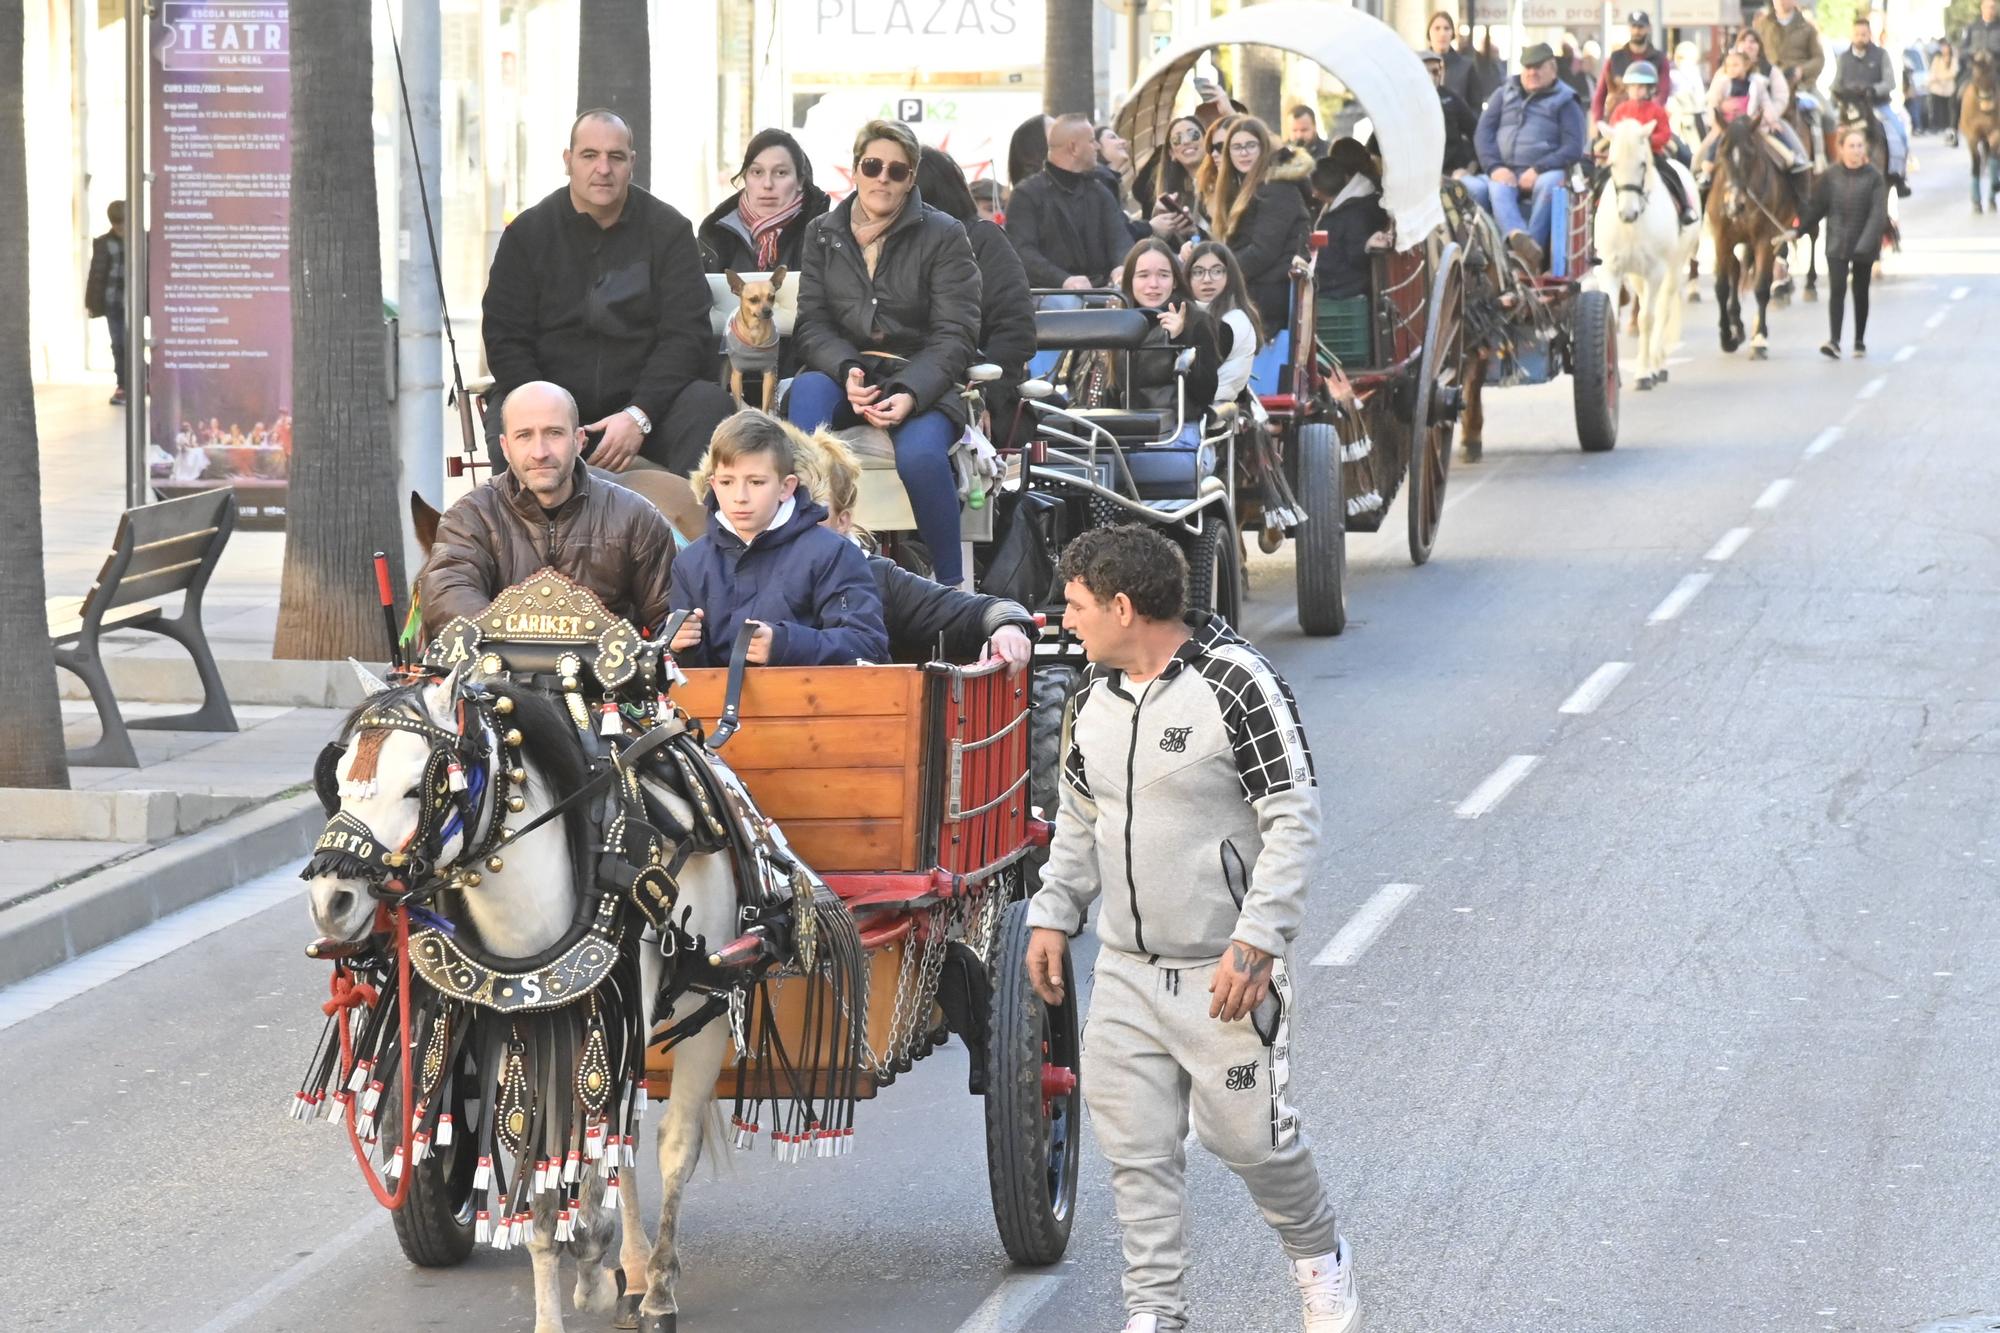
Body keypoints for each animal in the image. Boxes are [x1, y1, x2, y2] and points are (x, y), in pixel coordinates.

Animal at [300, 668, 732, 1328]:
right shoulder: (518, 1031)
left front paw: (596, 1261)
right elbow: (544, 1167)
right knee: (623, 1142)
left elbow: (594, 1149)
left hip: (706, 1011)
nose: (331, 900)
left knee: (672, 1143)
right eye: (340, 779)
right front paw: (573, 1287)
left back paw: (656, 1287)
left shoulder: (604, 1030)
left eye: (417, 787)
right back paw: (630, 1269)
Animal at [1592, 117, 1704, 390]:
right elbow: (1612, 314)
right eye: (1612, 164)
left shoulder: (1655, 272)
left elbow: (1648, 319)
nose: (1627, 213)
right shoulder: (1610, 269)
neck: (1632, 227)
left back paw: (1658, 365)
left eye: (1643, 164)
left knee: (1661, 309)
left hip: (1673, 268)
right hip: (1636, 275)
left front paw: (1643, 374)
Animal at [1712, 113, 1792, 356]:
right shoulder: (1721, 238)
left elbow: (1761, 288)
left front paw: (1759, 339)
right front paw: (1726, 336)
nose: (1734, 204)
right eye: (1722, 152)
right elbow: (1722, 287)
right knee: (1736, 270)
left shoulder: (1765, 239)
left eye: (1750, 154)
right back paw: (1736, 326)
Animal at [1952, 53, 2000, 211]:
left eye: (1994, 74)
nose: (1987, 106)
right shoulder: (1972, 138)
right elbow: (1976, 164)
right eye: (1976, 78)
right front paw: (1977, 202)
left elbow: (1993, 159)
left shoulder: (1995, 134)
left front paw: (1993, 192)